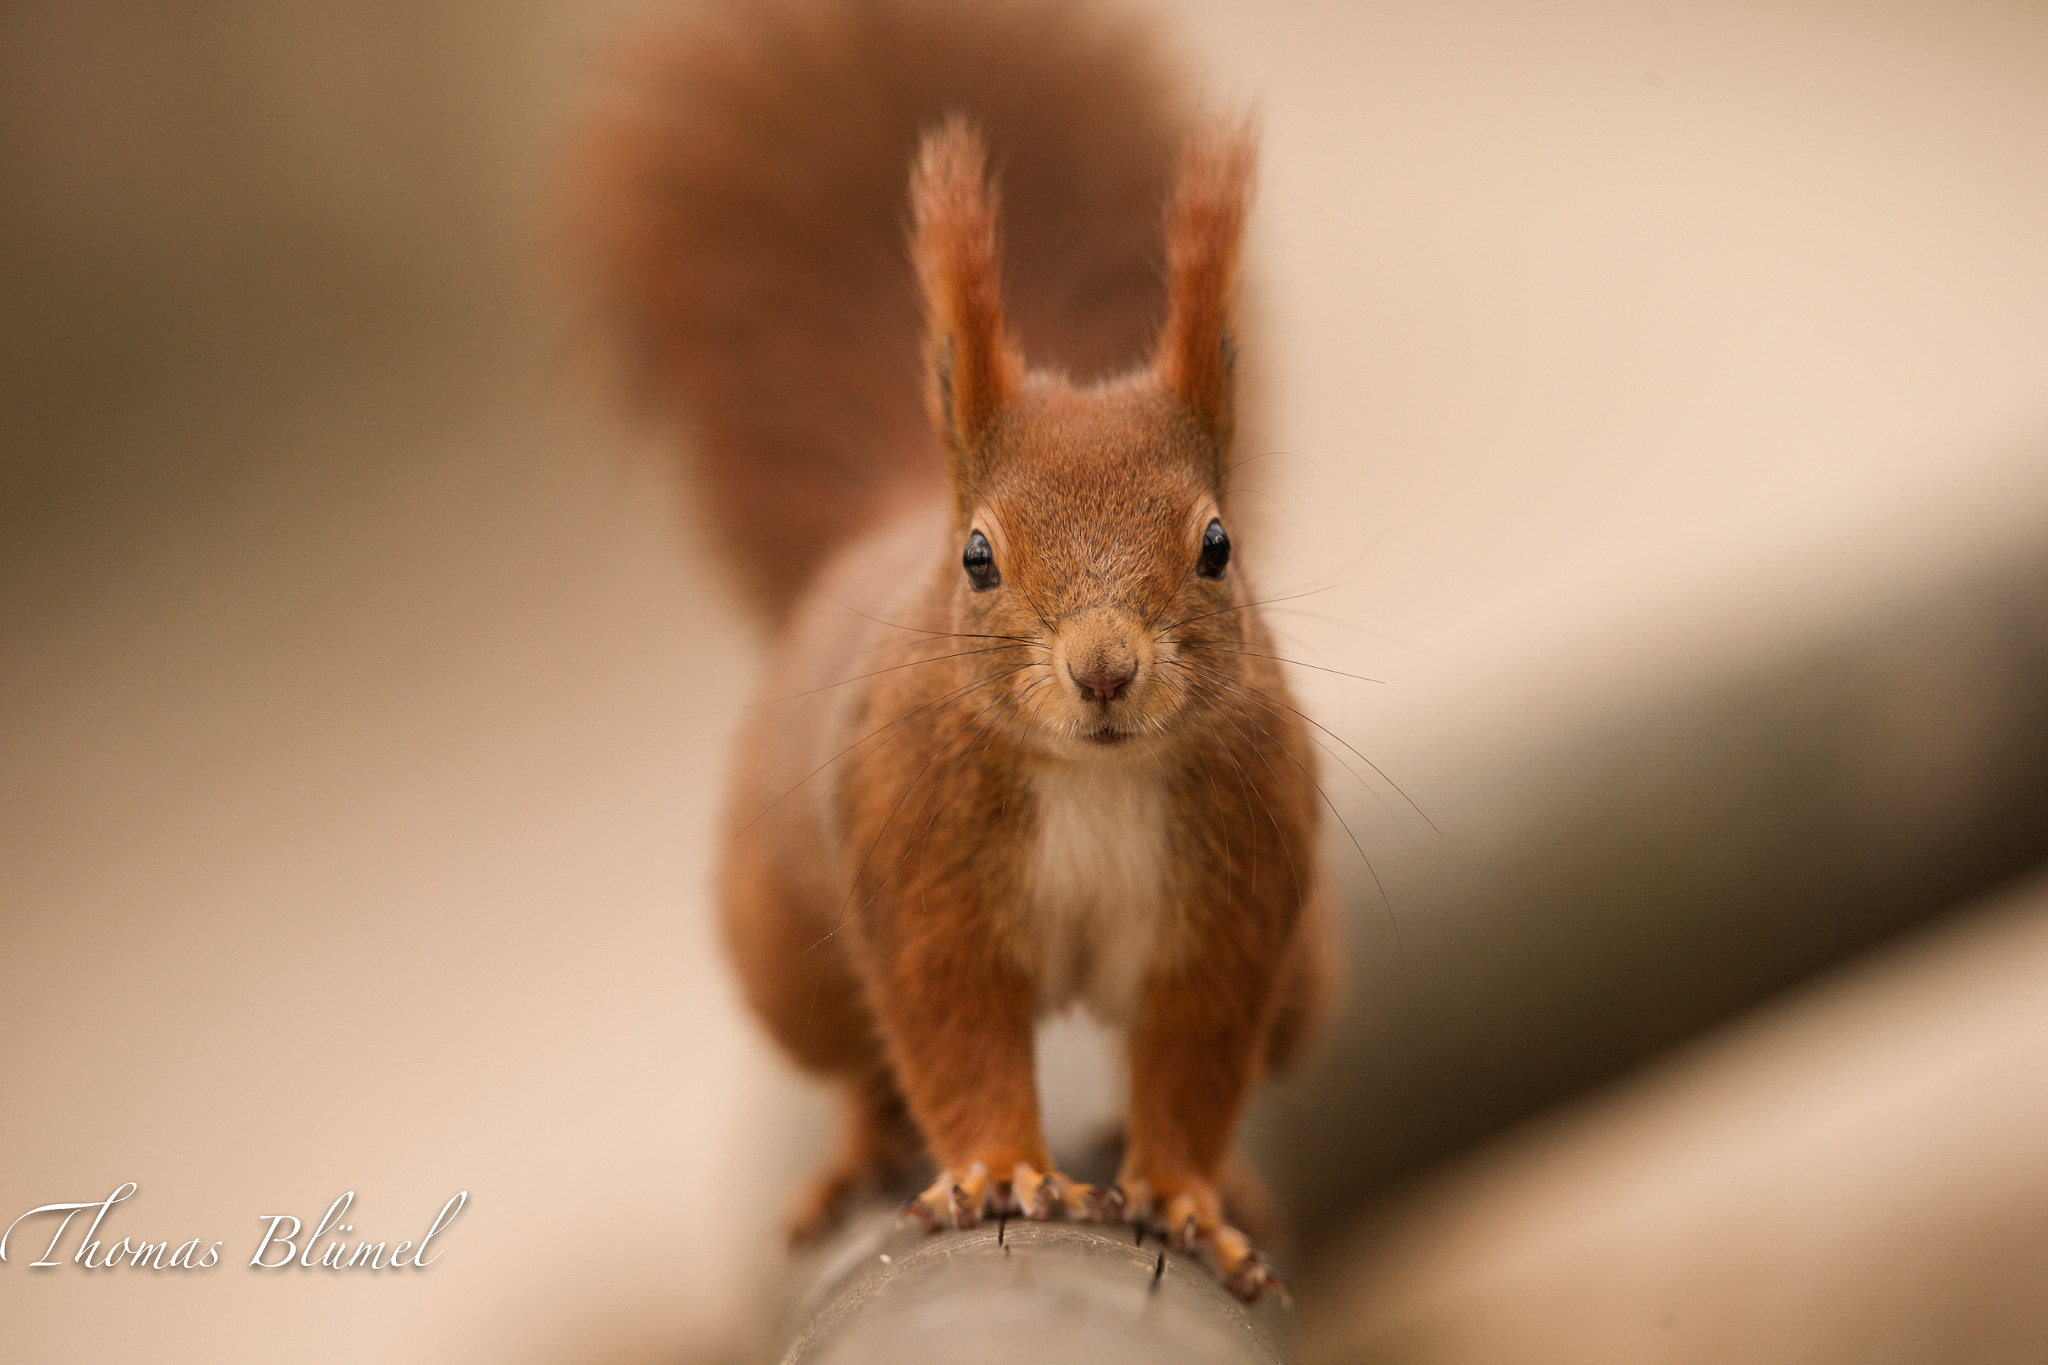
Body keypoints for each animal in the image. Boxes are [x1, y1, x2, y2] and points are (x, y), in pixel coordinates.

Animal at [573, 0, 1327, 1309]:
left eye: (1217, 546)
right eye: (978, 556)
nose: (1102, 671)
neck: (1092, 777)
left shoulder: (1235, 904)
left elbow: (1192, 1060)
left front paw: (1186, 1194)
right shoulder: (918, 870)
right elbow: (953, 1030)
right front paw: (1003, 1173)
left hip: (1308, 970)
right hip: (788, 956)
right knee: (854, 1063)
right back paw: (856, 1149)